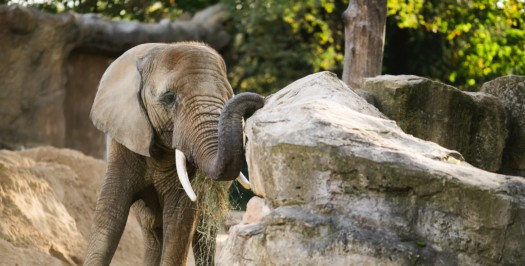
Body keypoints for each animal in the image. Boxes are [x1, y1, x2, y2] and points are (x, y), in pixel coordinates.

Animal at [87, 42, 266, 264]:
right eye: (169, 98)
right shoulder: (124, 141)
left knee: (202, 233)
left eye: (227, 96)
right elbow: (110, 213)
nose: (260, 100)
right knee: (152, 231)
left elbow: (179, 219)